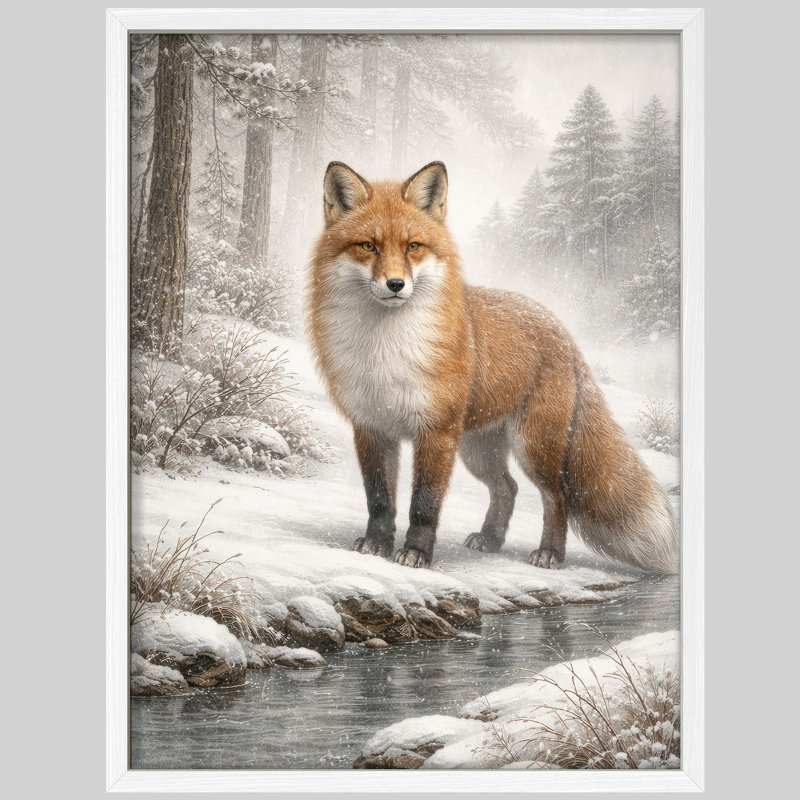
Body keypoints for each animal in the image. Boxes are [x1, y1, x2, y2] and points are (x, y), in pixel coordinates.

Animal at [307, 160, 678, 573]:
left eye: (413, 246)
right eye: (368, 246)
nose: (396, 284)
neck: (386, 350)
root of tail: (562, 330)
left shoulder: (437, 432)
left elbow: (424, 502)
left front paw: (417, 553)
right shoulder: (371, 427)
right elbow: (379, 499)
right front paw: (377, 544)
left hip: (533, 446)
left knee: (558, 495)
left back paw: (550, 553)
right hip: (478, 450)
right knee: (507, 488)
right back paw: (490, 539)